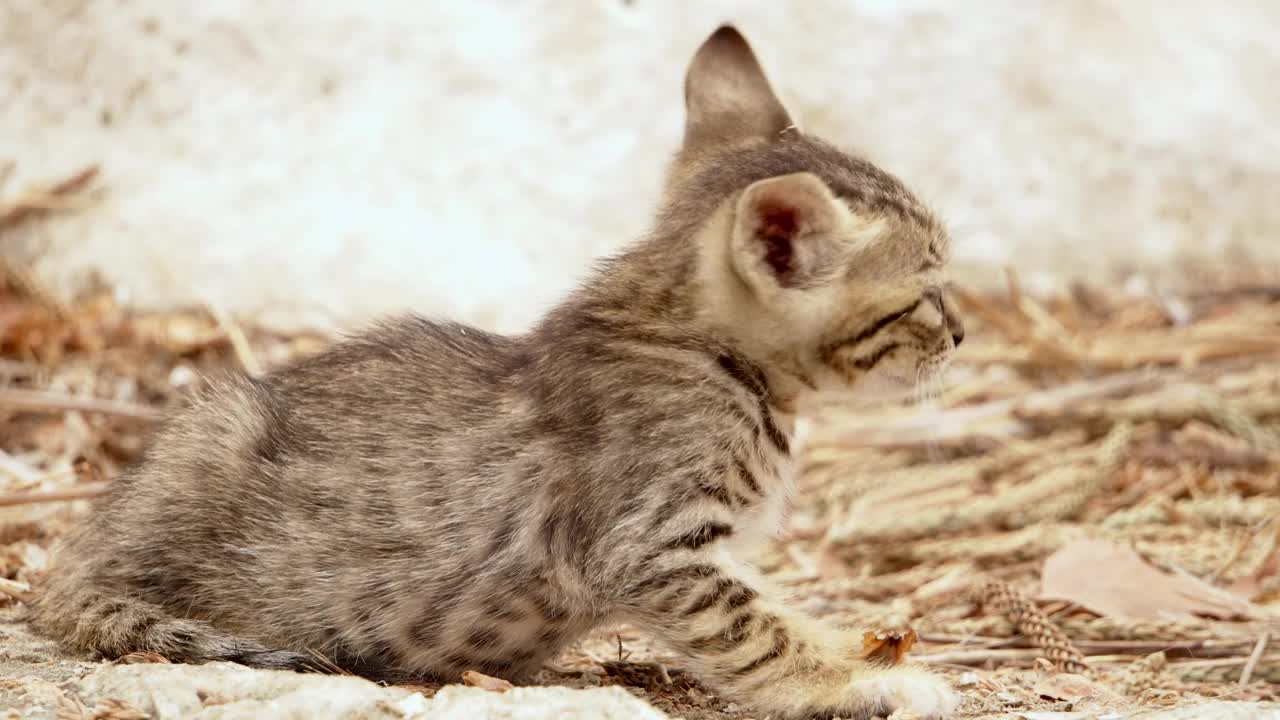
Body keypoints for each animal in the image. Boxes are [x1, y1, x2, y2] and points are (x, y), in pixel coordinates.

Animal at [32, 25, 962, 712]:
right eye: (926, 292)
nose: (960, 336)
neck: (701, 348)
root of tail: (64, 568)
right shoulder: (648, 547)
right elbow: (758, 629)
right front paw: (853, 681)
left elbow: (779, 605)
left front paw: (859, 649)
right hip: (212, 429)